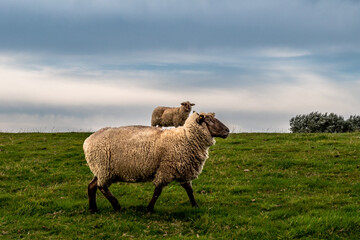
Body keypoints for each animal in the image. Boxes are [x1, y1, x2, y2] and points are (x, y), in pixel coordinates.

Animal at [83, 111, 228, 213]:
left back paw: (93, 209)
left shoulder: (183, 170)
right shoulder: (165, 169)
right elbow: (158, 191)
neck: (186, 138)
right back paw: (117, 206)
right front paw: (149, 210)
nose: (227, 131)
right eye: (210, 121)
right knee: (101, 187)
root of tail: (88, 141)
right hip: (104, 168)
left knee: (92, 185)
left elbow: (189, 190)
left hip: (101, 169)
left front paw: (195, 206)